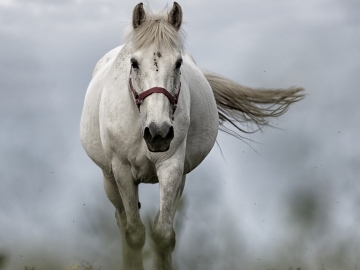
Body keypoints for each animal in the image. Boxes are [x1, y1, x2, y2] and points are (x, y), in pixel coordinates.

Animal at [81, 2, 304, 270]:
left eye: (178, 64)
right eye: (134, 63)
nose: (158, 133)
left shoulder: (172, 167)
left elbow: (163, 235)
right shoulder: (122, 170)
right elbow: (134, 234)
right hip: (109, 177)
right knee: (122, 221)